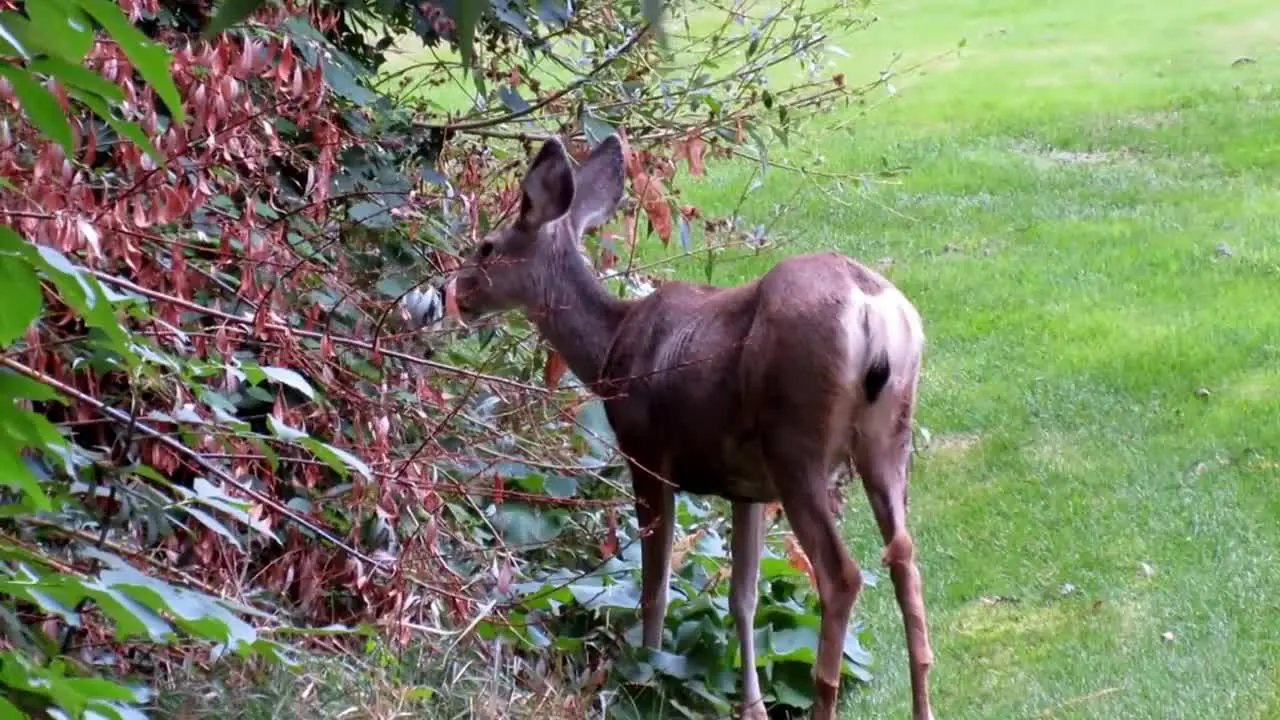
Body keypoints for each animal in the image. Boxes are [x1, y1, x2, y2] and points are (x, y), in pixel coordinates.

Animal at [445, 135, 936, 717]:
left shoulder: (645, 453)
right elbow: (742, 596)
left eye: (487, 247)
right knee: (906, 561)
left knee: (842, 574)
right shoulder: (747, 488)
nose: (458, 293)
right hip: (887, 438)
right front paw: (752, 707)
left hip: (796, 441)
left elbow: (654, 582)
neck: (610, 350)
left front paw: (646, 674)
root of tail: (872, 308)